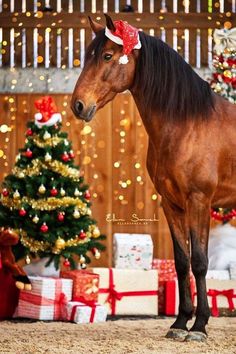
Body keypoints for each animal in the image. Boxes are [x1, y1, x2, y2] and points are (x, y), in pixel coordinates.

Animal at [71, 15, 236, 342]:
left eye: (106, 56)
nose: (78, 105)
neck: (188, 124)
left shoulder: (199, 202)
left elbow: (200, 263)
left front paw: (199, 326)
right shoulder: (172, 205)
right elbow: (182, 263)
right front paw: (180, 323)